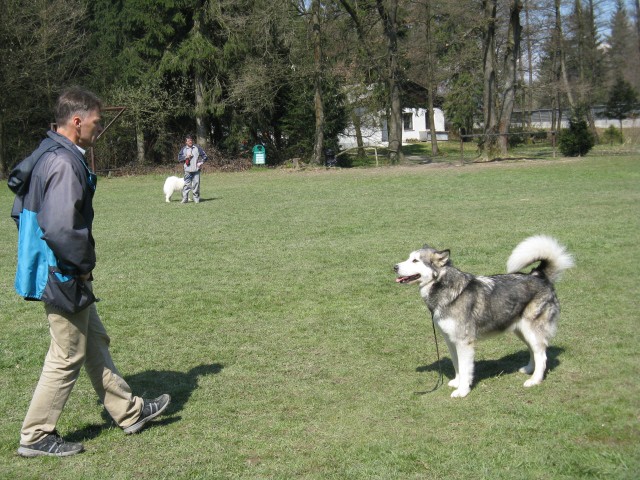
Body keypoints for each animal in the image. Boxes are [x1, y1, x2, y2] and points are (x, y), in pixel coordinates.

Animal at [396, 235, 576, 398]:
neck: (445, 289)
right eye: (409, 258)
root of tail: (539, 275)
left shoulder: (464, 342)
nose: (394, 267)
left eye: (415, 261)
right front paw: (457, 382)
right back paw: (529, 370)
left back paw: (534, 380)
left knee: (542, 355)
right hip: (521, 330)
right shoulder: (451, 340)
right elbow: (457, 365)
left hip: (531, 330)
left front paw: (462, 391)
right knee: (534, 351)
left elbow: (465, 368)